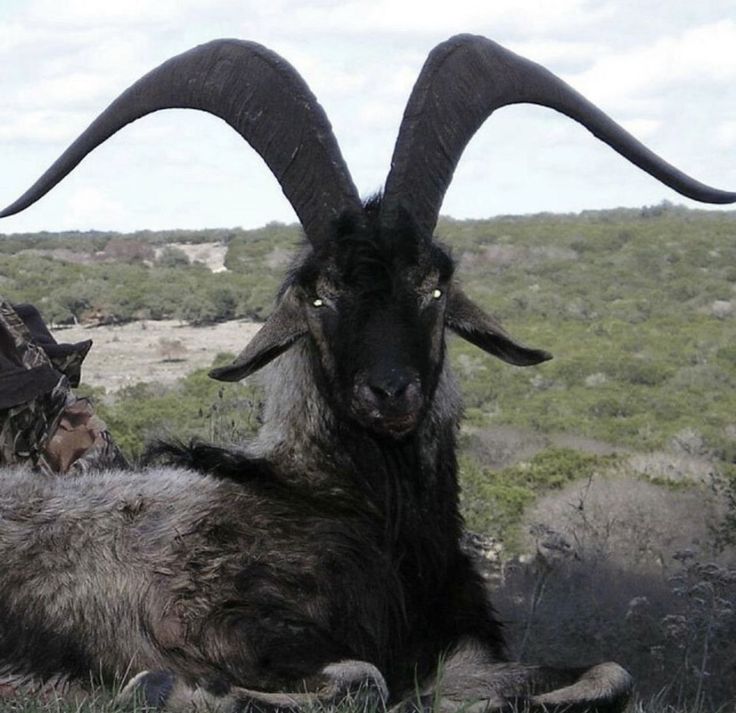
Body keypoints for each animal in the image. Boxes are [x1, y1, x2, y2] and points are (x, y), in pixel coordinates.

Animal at [1, 34, 736, 712]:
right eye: (319, 295)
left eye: (434, 285)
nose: (390, 391)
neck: (352, 510)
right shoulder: (211, 620)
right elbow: (361, 676)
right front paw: (169, 686)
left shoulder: (458, 649)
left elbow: (611, 671)